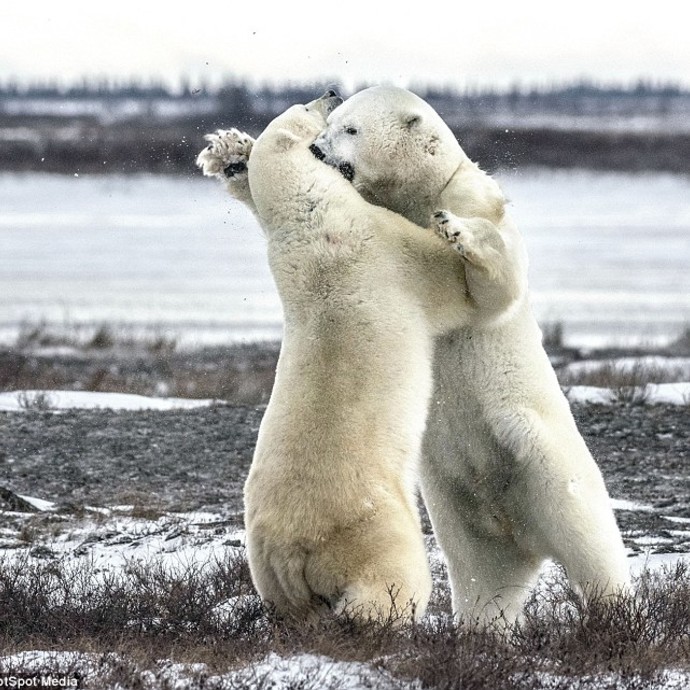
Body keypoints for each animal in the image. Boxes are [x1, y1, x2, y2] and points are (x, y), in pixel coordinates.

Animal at [194, 88, 520, 620]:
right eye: (309, 110)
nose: (330, 91)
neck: (310, 221)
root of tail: (294, 551)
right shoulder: (390, 253)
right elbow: (469, 294)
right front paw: (464, 229)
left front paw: (233, 153)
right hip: (375, 530)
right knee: (391, 582)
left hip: (268, 567)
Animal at [310, 84, 628, 624]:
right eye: (331, 124)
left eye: (350, 128)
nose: (315, 150)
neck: (416, 195)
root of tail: (522, 532)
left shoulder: (474, 200)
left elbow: (495, 285)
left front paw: (456, 231)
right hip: (460, 514)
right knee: (483, 582)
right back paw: (481, 627)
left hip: (553, 470)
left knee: (593, 547)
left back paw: (619, 614)